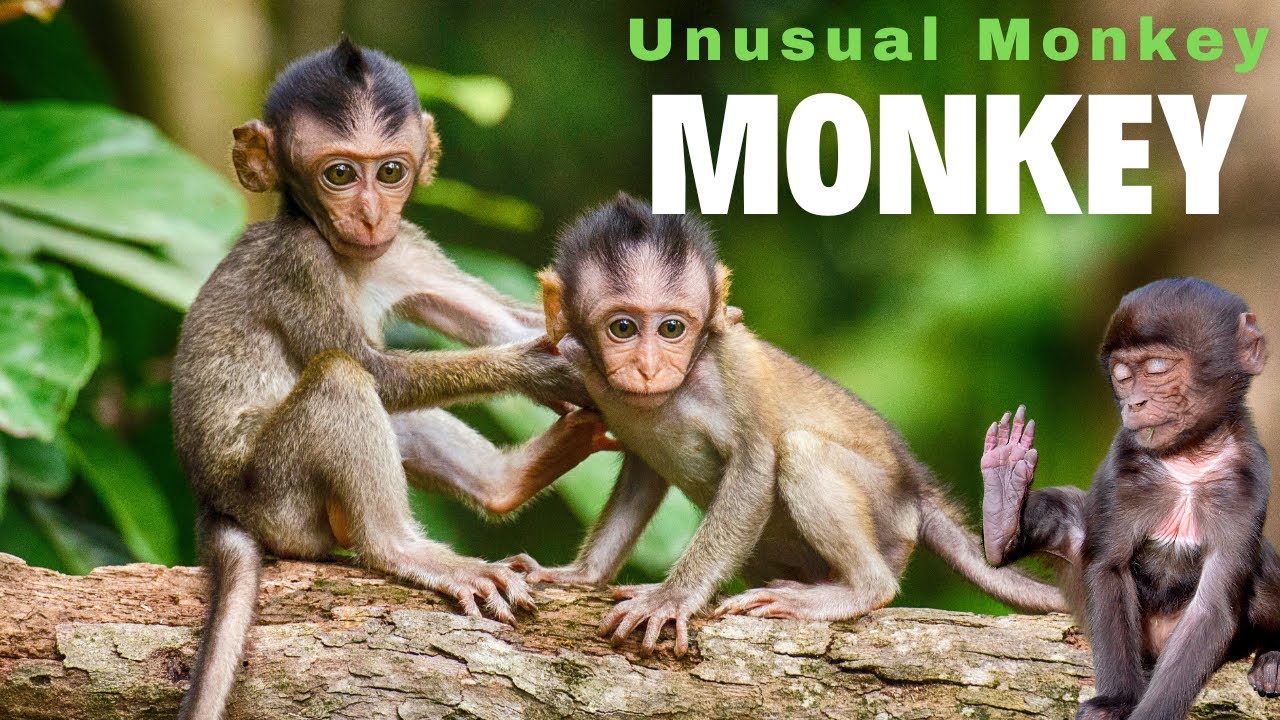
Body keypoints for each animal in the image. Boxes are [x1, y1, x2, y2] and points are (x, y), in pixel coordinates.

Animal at [171, 39, 611, 720]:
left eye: (390, 172)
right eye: (339, 174)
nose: (371, 215)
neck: (348, 255)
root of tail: (213, 503)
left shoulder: (406, 247)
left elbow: (497, 319)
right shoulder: (299, 262)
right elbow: (375, 369)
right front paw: (542, 367)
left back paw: (506, 483)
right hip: (277, 498)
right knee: (341, 378)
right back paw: (403, 549)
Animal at [502, 193, 1066, 657]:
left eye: (671, 328)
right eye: (622, 328)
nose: (648, 367)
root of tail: (915, 489)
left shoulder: (732, 370)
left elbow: (754, 468)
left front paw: (670, 598)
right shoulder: (584, 366)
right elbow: (643, 471)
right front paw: (579, 575)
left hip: (887, 514)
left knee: (800, 451)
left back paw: (858, 589)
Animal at [980, 278, 1280, 719]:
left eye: (1156, 367)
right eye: (1122, 375)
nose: (1134, 402)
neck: (1188, 460)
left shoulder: (1249, 481)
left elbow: (1213, 606)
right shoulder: (1124, 463)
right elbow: (1108, 568)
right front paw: (1116, 701)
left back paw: (1273, 659)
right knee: (1072, 522)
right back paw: (1003, 516)